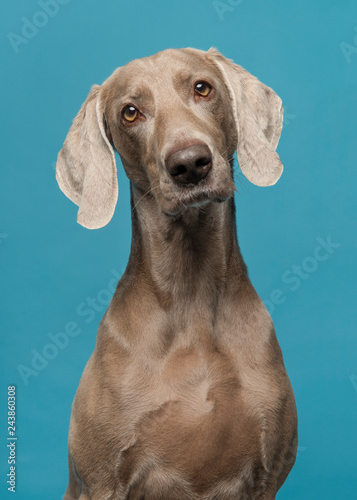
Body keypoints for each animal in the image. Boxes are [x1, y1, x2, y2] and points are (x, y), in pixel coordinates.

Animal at [57, 47, 298, 500]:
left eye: (202, 88)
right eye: (130, 112)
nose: (189, 164)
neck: (192, 297)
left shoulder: (268, 475)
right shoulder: (103, 481)